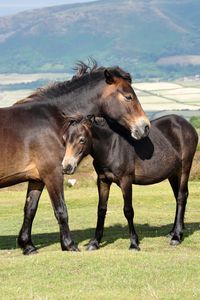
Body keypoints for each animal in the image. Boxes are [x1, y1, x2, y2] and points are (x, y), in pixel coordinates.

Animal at [0, 62, 150, 254]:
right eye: (128, 96)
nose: (145, 127)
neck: (53, 120)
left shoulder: (37, 178)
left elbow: (30, 209)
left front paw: (28, 245)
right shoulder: (53, 173)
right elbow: (61, 210)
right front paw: (69, 245)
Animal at [61, 113, 198, 250]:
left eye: (82, 139)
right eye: (64, 139)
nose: (67, 167)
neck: (112, 146)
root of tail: (186, 124)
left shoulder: (125, 181)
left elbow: (128, 211)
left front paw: (134, 243)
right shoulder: (103, 181)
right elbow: (101, 209)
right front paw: (95, 242)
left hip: (184, 168)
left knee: (181, 197)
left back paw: (177, 237)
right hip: (173, 173)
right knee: (177, 197)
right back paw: (173, 232)